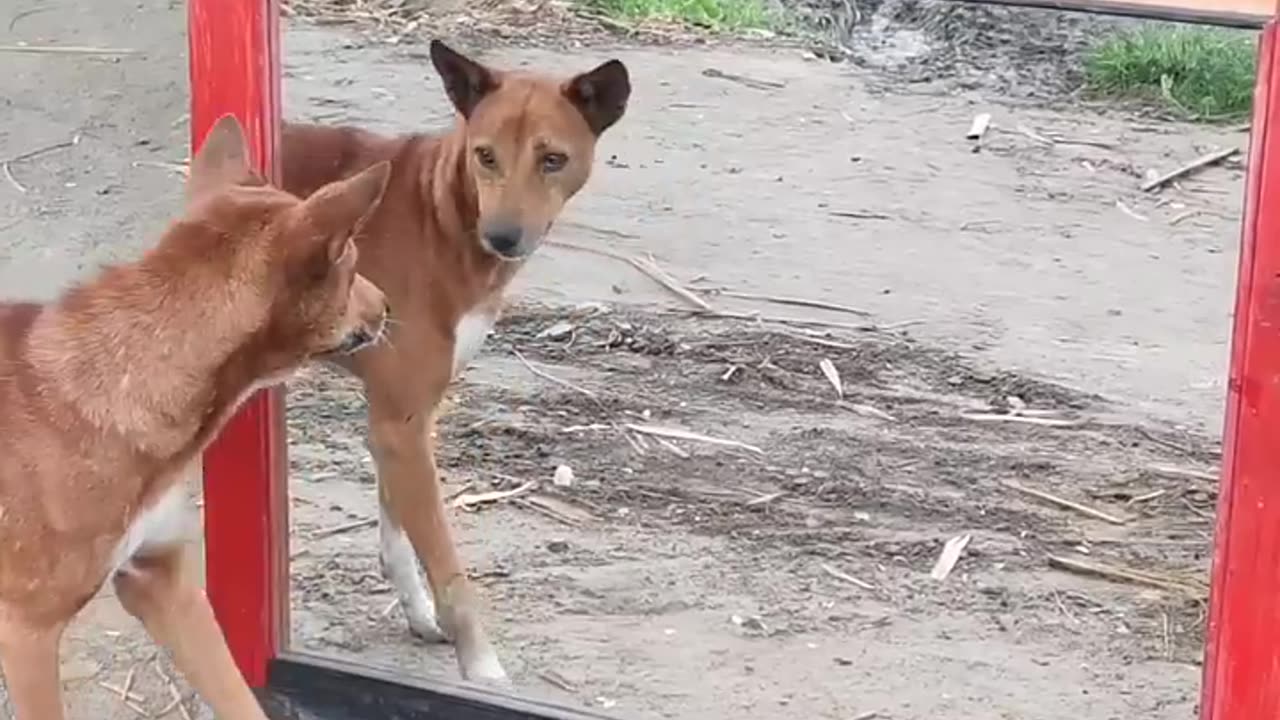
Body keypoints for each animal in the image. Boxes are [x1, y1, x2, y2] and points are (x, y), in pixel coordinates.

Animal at [280, 39, 629, 676]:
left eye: (553, 159)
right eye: (484, 155)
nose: (503, 236)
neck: (436, 213)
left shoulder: (407, 417)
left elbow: (398, 534)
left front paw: (419, 614)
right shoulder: (400, 422)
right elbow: (449, 570)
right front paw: (484, 670)